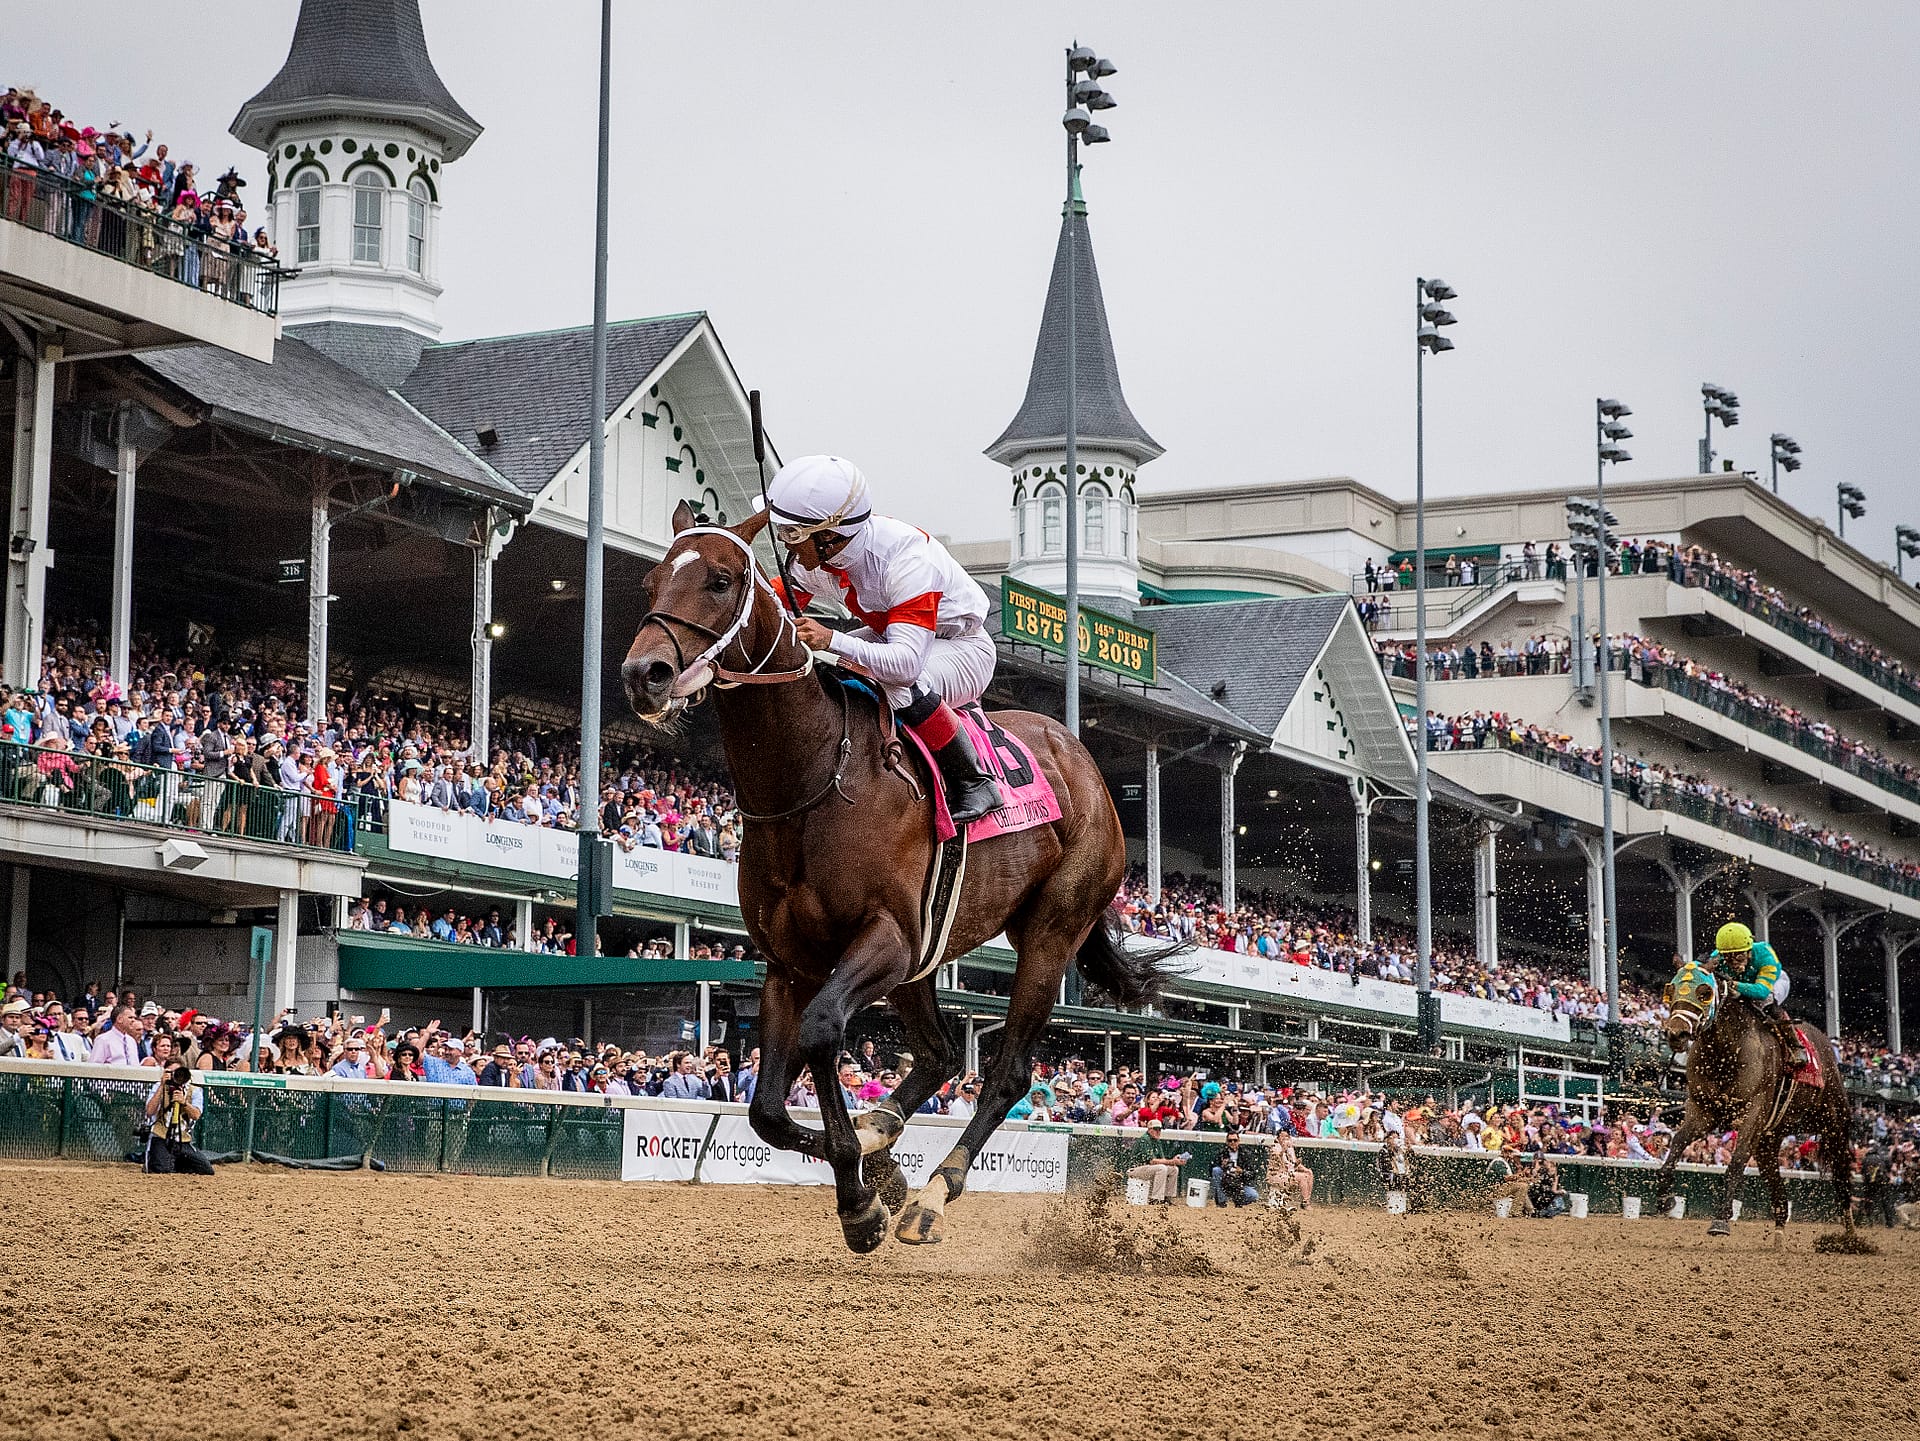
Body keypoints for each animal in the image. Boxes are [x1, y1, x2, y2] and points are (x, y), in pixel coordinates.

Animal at [622, 506, 1175, 1251]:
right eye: (652, 580)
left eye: (721, 578)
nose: (644, 673)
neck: (814, 781)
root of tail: (1083, 761)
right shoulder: (790, 963)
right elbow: (767, 1108)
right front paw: (872, 1168)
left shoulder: (885, 937)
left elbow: (823, 1032)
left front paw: (863, 1196)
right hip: (925, 958)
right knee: (940, 1055)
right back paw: (883, 1130)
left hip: (1049, 931)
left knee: (1005, 1072)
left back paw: (934, 1194)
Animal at [1643, 959, 1850, 1243]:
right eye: (1670, 990)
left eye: (1705, 992)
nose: (1676, 1033)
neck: (1727, 1051)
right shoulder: (1704, 1110)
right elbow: (1677, 1142)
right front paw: (1666, 1199)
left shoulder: (1753, 1112)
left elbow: (1738, 1159)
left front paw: (1721, 1220)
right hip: (1769, 1139)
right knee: (1776, 1184)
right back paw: (1778, 1234)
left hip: (1833, 1122)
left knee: (1842, 1176)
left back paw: (1851, 1237)